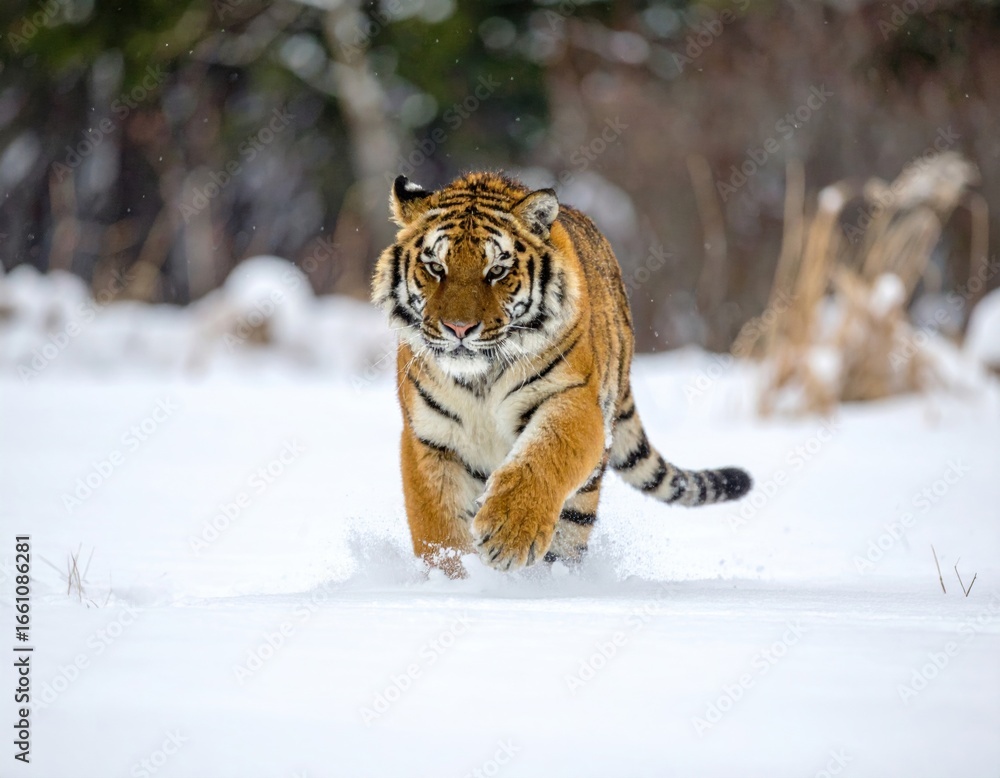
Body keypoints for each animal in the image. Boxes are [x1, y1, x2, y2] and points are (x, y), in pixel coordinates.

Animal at [371, 171, 751, 576]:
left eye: (497, 271)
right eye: (436, 268)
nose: (459, 328)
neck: (481, 379)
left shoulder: (572, 398)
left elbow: (543, 457)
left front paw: (508, 533)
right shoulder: (430, 436)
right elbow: (438, 528)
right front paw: (454, 578)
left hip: (586, 490)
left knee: (570, 535)